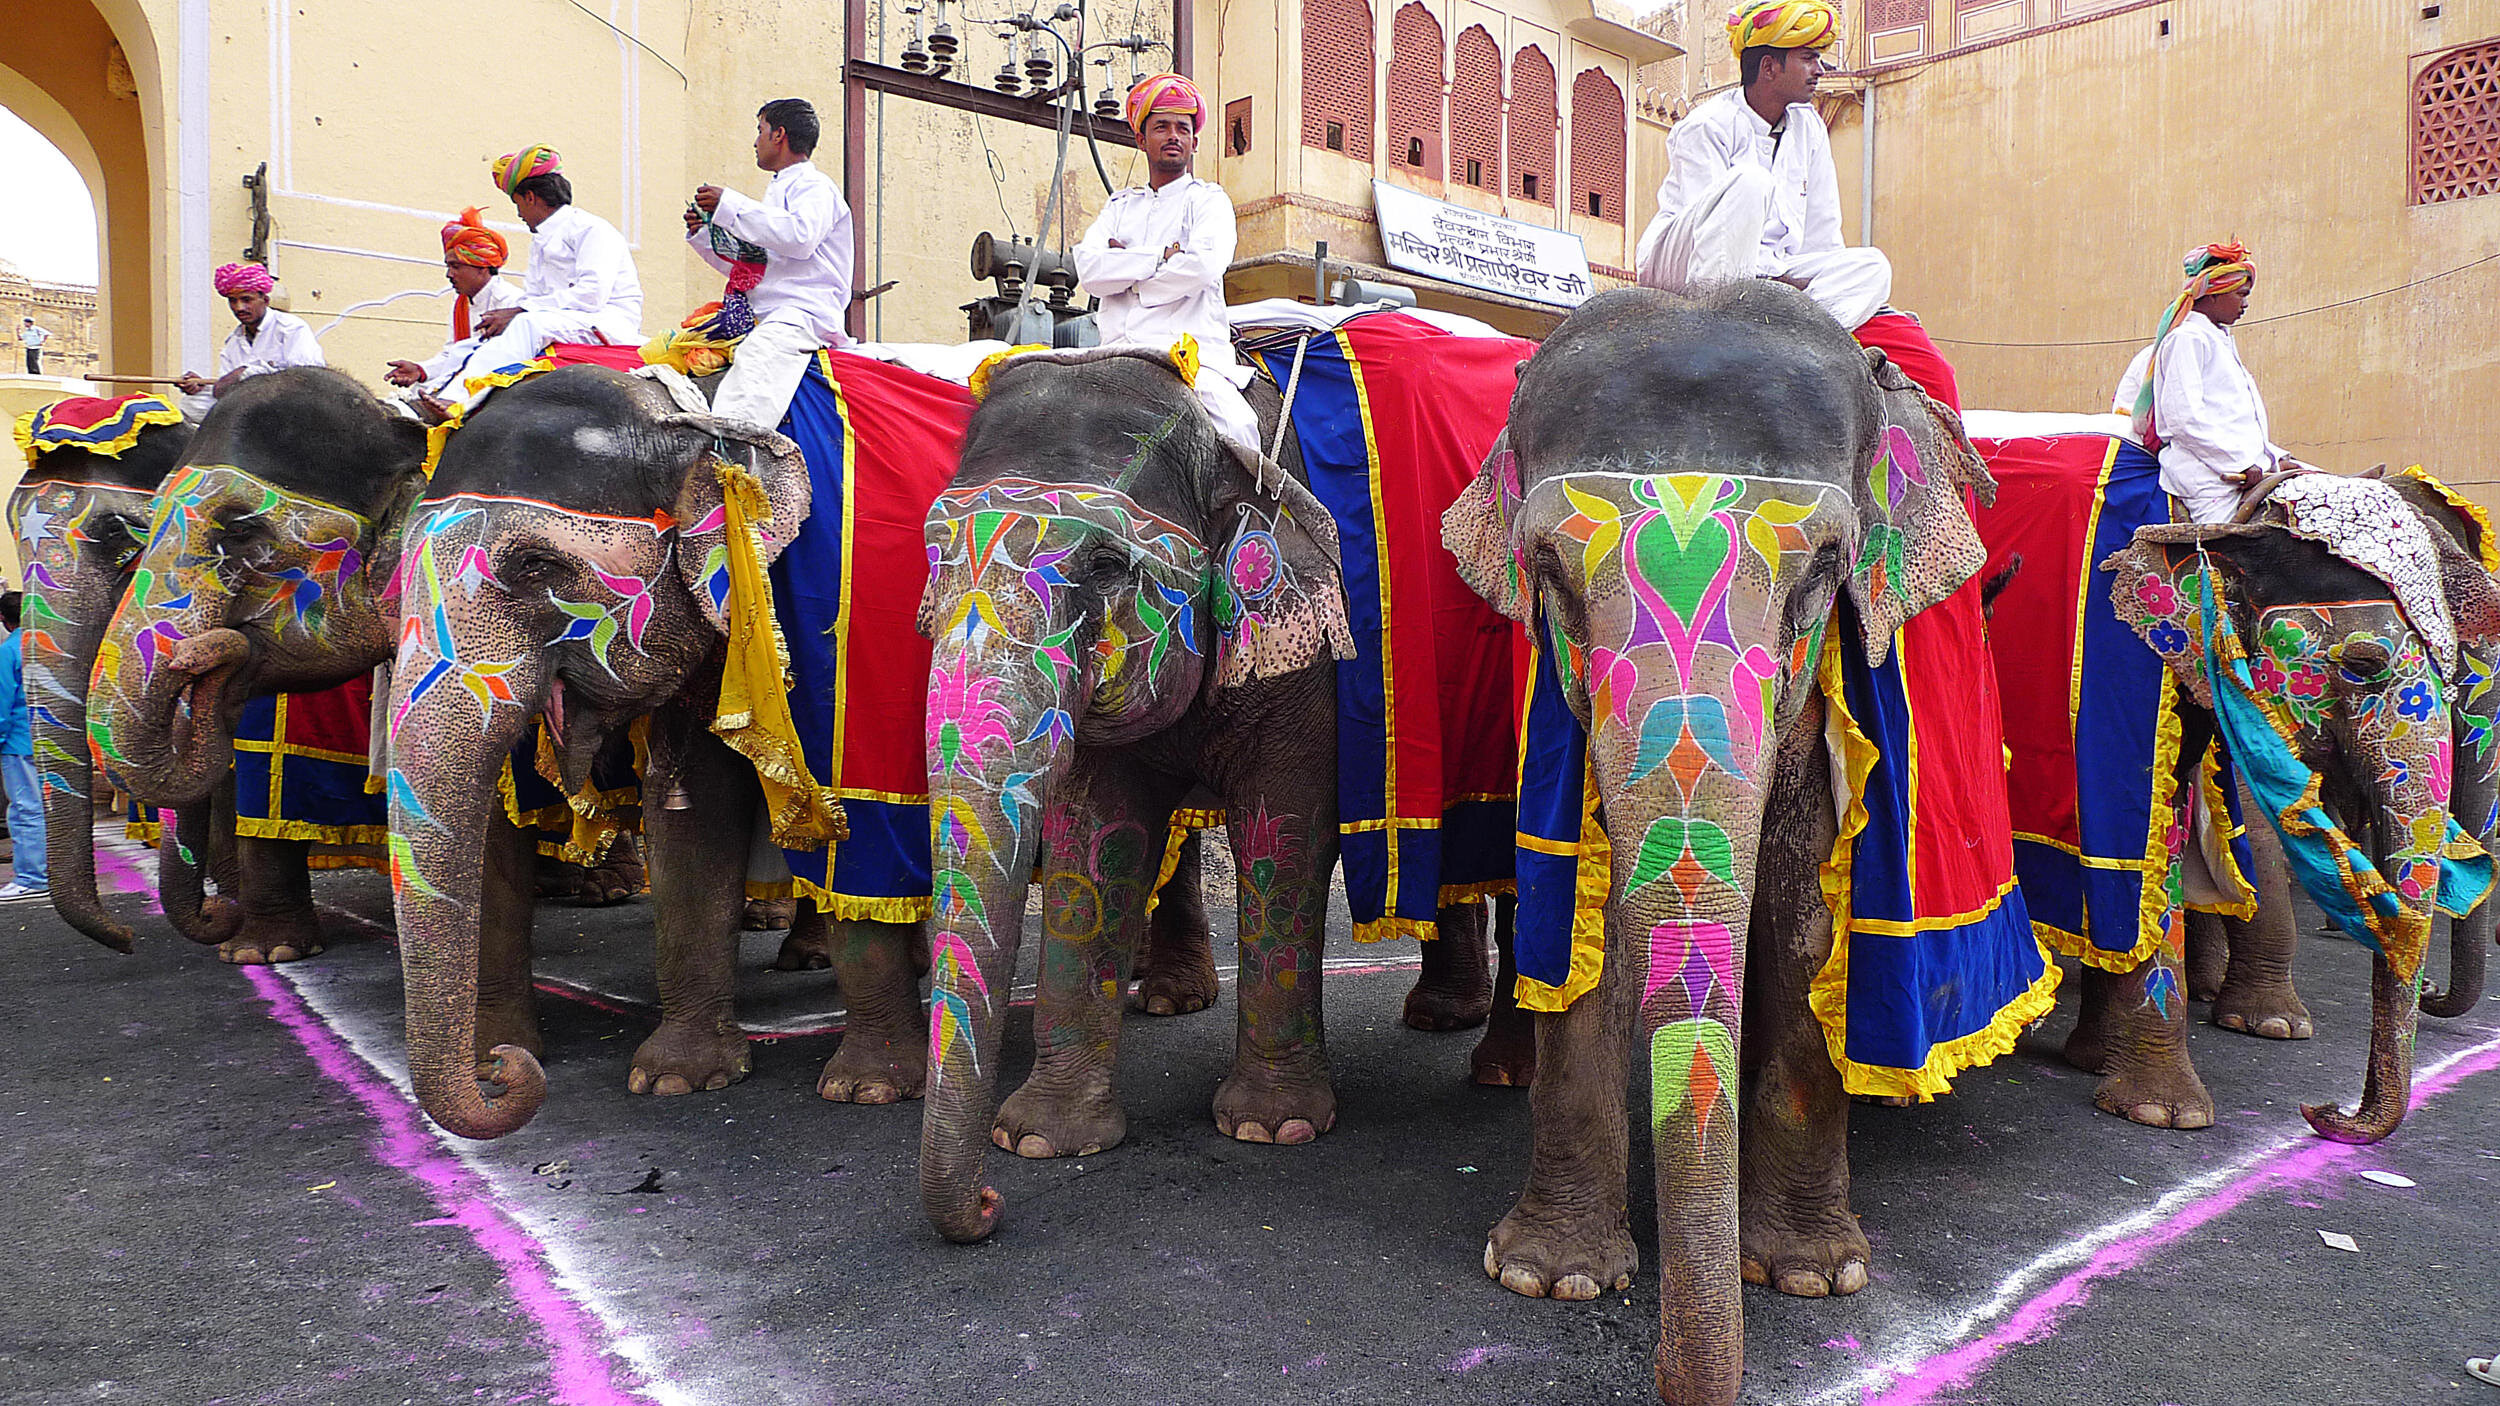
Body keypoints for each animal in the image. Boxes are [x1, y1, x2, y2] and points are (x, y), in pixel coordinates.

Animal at [1437, 283, 1999, 1406]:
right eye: (1548, 569)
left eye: (1824, 569)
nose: (1672, 1376)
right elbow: (1592, 928)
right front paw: (1550, 1276)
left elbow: (1802, 918)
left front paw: (1815, 1276)